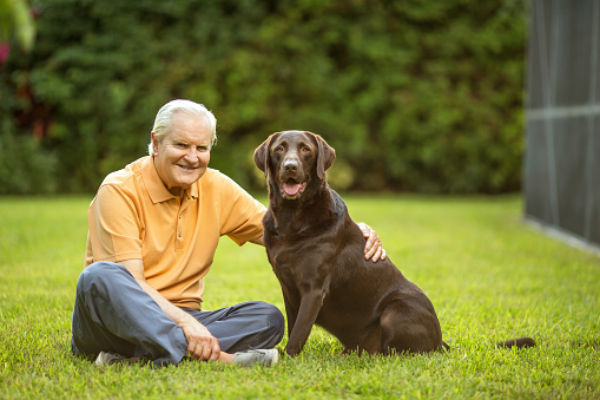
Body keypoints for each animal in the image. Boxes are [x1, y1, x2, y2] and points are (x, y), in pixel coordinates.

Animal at [253, 130, 536, 356]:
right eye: (279, 149)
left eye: (305, 150)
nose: (290, 166)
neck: (292, 217)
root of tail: (442, 341)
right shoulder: (289, 289)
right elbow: (294, 326)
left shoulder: (313, 289)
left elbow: (299, 332)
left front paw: (287, 360)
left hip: (396, 310)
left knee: (401, 353)